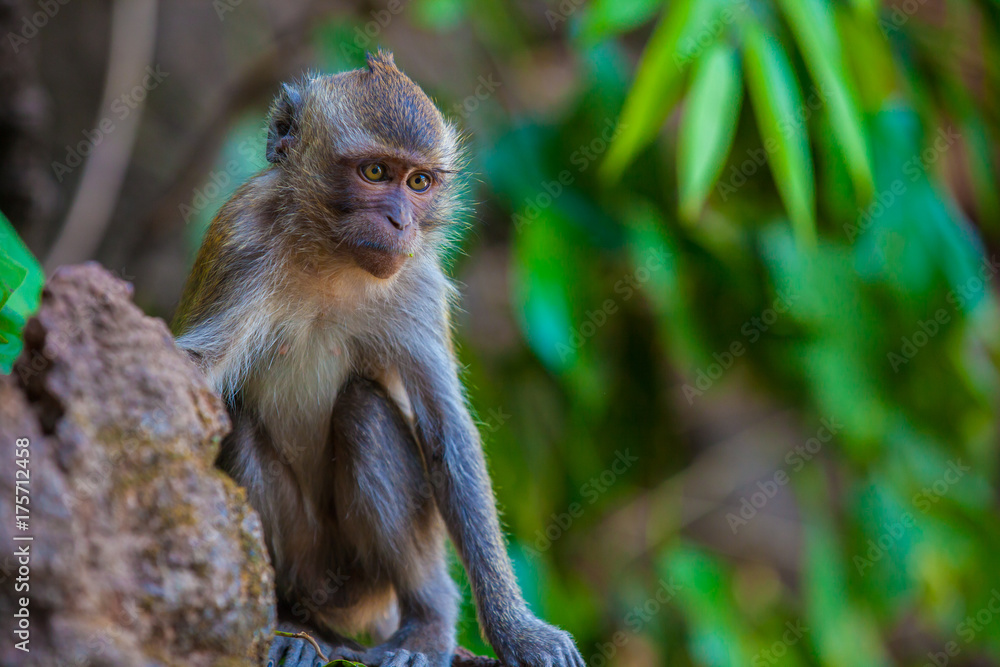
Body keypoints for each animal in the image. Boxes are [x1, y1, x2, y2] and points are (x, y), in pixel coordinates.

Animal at [173, 49, 584, 667]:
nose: (399, 221)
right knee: (240, 425)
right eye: (374, 174)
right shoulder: (241, 249)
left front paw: (518, 631)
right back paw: (293, 624)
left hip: (367, 584)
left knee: (364, 412)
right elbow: (191, 374)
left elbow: (446, 432)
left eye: (418, 182)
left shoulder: (418, 282)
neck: (331, 260)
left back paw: (427, 622)